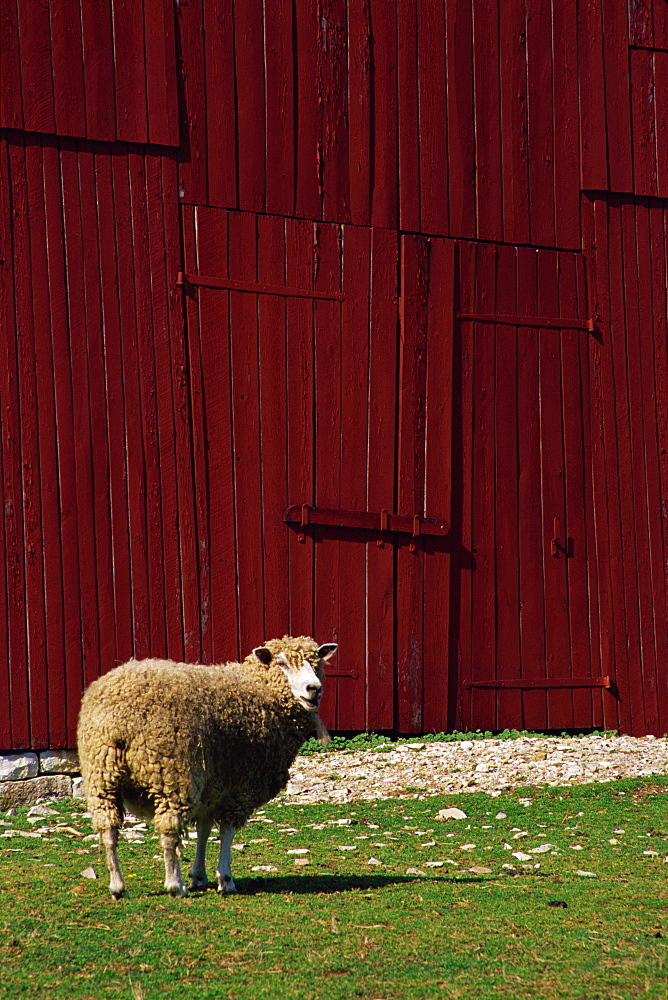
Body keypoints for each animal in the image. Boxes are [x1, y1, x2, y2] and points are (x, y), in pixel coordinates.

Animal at [77, 636, 340, 904]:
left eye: (317, 663)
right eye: (282, 663)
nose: (314, 688)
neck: (263, 692)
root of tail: (119, 719)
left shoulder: (212, 785)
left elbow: (203, 830)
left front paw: (199, 875)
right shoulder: (241, 786)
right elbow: (227, 832)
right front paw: (225, 879)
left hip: (102, 771)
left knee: (107, 829)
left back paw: (118, 886)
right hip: (172, 771)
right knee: (169, 830)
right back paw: (174, 884)